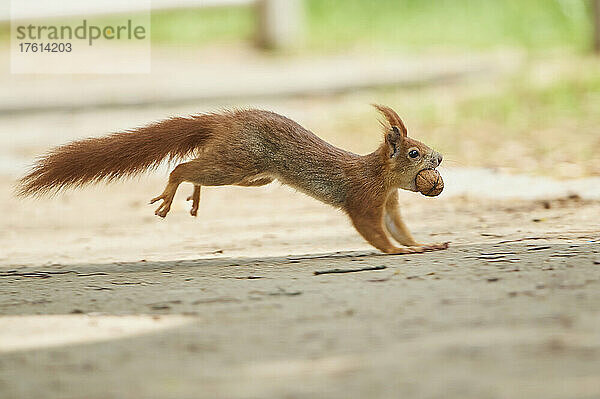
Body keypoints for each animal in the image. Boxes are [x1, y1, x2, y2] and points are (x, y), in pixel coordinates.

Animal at [16, 104, 448, 255]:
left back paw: (193, 196)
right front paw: (397, 251)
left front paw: (422, 243)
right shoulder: (363, 198)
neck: (381, 176)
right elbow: (374, 231)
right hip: (239, 163)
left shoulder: (389, 202)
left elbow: (399, 226)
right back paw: (172, 193)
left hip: (253, 176)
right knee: (182, 167)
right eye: (414, 153)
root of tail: (224, 120)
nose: (441, 157)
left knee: (197, 168)